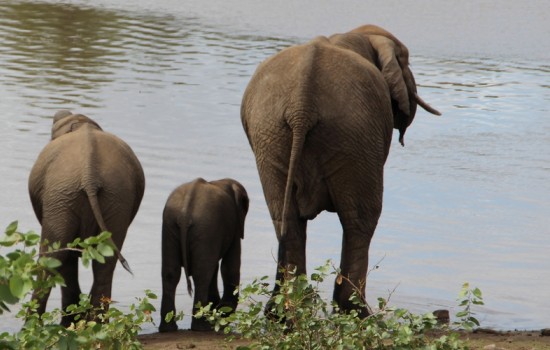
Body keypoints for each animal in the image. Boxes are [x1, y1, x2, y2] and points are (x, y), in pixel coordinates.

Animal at [28, 109, 146, 326]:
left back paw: (32, 326)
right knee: (106, 262)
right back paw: (96, 325)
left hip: (61, 197)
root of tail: (90, 176)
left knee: (51, 258)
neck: (82, 123)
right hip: (115, 197)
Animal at [160, 178, 250, 330]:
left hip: (171, 226)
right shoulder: (234, 227)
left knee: (171, 274)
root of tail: (185, 215)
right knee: (202, 275)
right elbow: (229, 266)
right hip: (204, 226)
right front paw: (223, 311)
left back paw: (168, 329)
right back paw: (202, 327)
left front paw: (218, 308)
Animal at [244, 23, 442, 316]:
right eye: (406, 60)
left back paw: (285, 311)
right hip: (355, 136)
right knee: (361, 220)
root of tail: (301, 105)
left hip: (270, 134)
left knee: (284, 218)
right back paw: (358, 313)